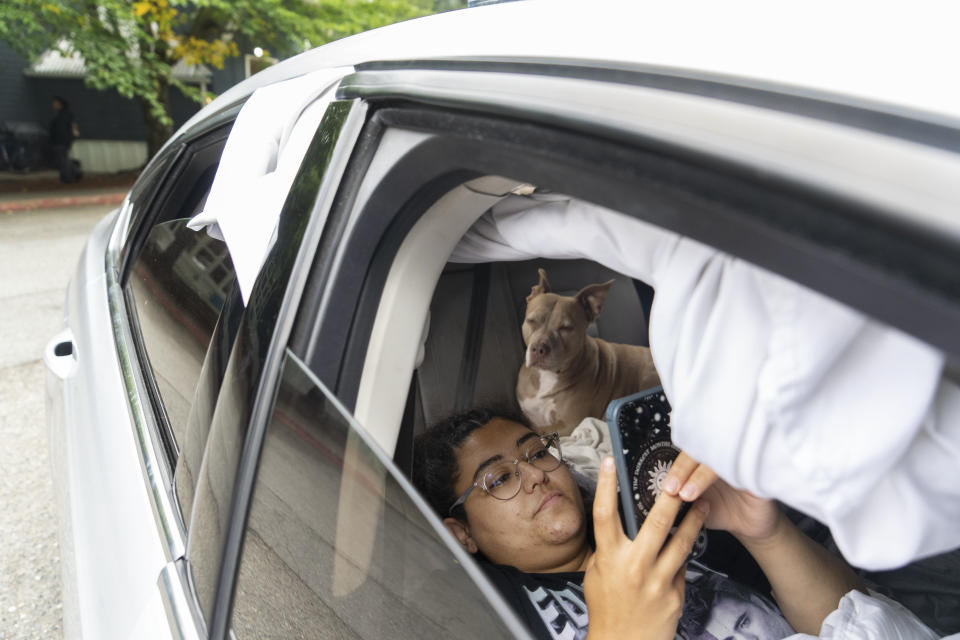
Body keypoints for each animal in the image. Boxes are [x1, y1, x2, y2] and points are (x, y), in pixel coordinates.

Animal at [516, 268, 660, 438]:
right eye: (532, 321)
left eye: (566, 328)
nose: (539, 349)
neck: (546, 376)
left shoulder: (570, 425)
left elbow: (539, 429)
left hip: (647, 375)